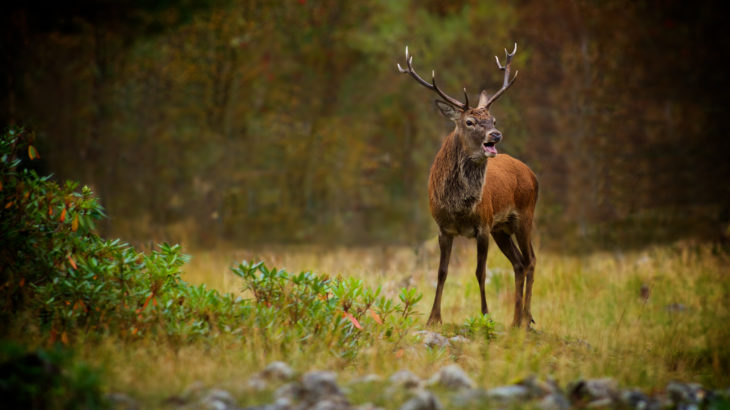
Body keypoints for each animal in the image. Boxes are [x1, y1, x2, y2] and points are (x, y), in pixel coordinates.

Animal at [396, 44, 536, 326]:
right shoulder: (443, 229)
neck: (458, 208)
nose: (496, 135)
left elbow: (480, 272)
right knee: (518, 263)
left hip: (524, 216)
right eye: (469, 122)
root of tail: (533, 175)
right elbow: (441, 272)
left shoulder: (482, 226)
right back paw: (515, 321)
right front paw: (433, 318)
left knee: (530, 261)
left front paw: (485, 316)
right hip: (502, 228)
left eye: (493, 120)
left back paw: (526, 320)